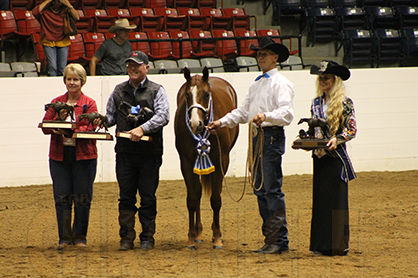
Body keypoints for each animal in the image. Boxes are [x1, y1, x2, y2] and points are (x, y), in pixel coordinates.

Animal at [174, 68, 238, 250]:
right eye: (187, 95)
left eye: (206, 93)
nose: (196, 124)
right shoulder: (186, 162)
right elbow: (192, 198)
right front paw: (191, 238)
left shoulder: (221, 161)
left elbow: (215, 199)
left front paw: (217, 238)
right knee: (198, 193)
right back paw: (198, 233)